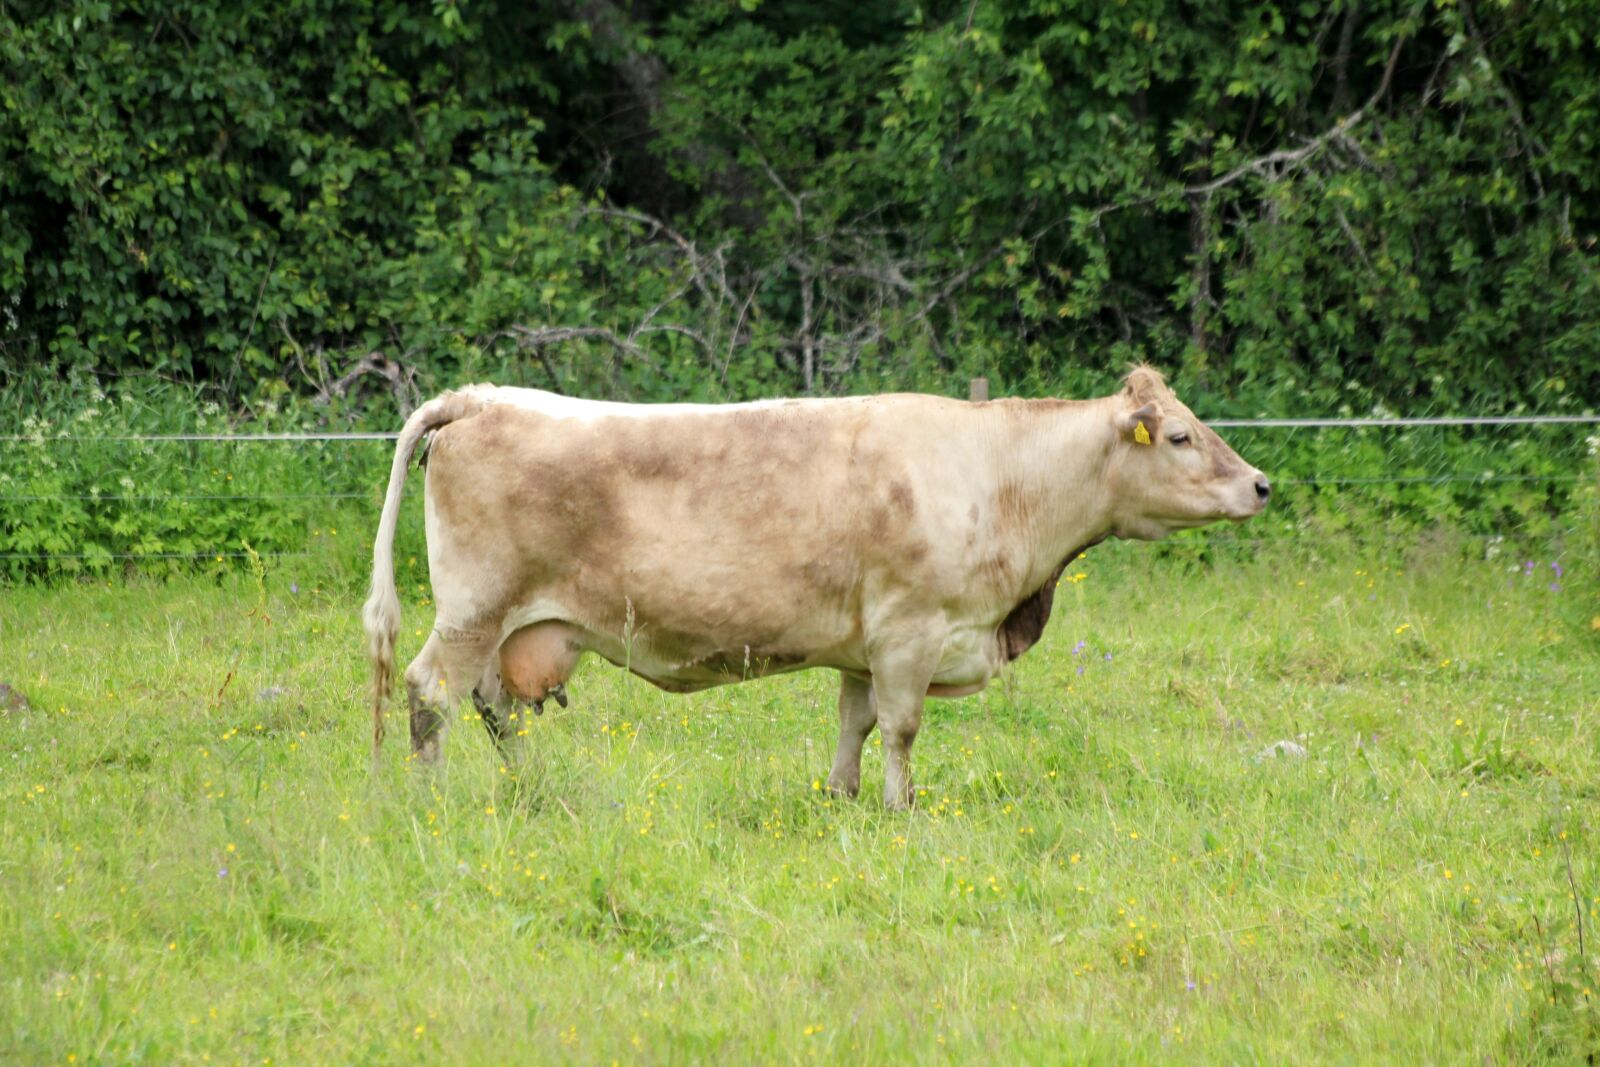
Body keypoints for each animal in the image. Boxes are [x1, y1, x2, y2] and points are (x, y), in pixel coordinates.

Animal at [362, 367, 1269, 808]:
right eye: (1180, 435)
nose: (1261, 484)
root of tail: (478, 397)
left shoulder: (866, 645)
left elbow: (855, 722)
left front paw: (842, 795)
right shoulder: (910, 630)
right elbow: (901, 728)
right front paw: (902, 808)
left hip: (507, 625)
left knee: (494, 707)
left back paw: (533, 789)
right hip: (473, 608)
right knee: (431, 690)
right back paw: (431, 797)